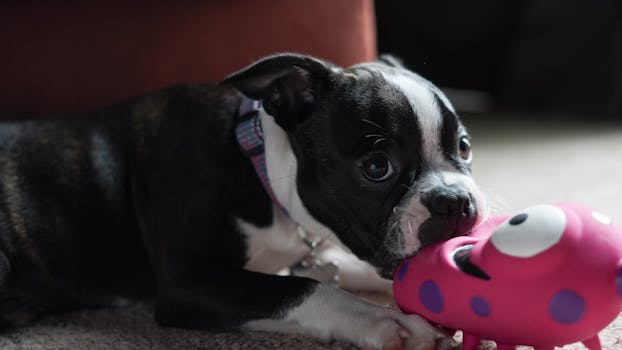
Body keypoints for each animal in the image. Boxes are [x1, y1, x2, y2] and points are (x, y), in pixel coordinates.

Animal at [0, 53, 488, 348]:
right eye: (376, 167)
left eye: (464, 147)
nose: (453, 201)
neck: (259, 168)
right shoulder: (189, 282)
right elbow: (307, 289)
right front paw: (388, 321)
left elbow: (350, 271)